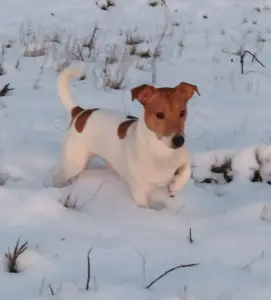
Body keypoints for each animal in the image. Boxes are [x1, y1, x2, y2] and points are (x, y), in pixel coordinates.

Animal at [53, 67, 200, 209]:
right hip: (74, 163)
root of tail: (80, 112)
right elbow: (145, 206)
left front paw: (175, 185)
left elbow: (186, 170)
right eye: (159, 115)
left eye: (182, 113)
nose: (179, 140)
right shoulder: (139, 191)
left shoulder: (182, 158)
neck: (162, 153)